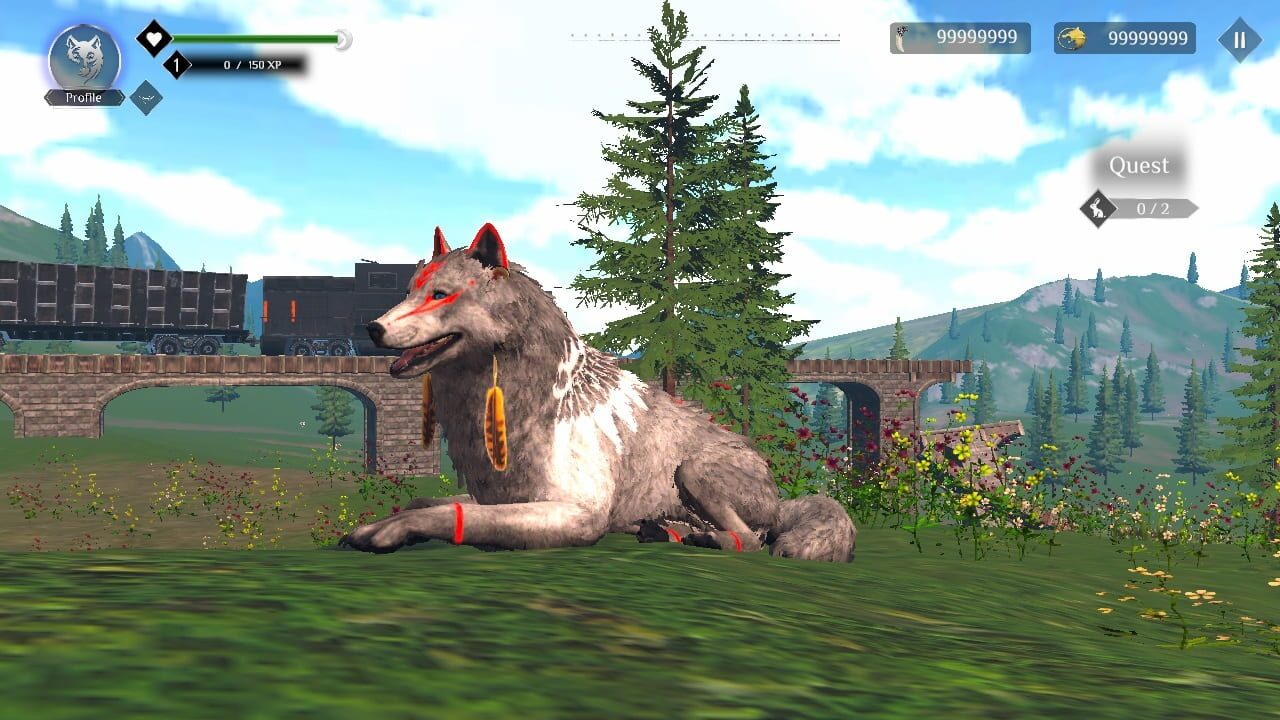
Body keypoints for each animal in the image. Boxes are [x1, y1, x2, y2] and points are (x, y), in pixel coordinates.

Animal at [340, 223, 856, 562]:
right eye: (410, 291)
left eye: (440, 294)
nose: (371, 328)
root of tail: (779, 495)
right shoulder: (502, 496)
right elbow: (428, 502)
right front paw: (379, 523)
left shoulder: (578, 513)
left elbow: (448, 513)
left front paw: (387, 532)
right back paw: (664, 530)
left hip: (691, 471)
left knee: (752, 539)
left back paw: (701, 538)